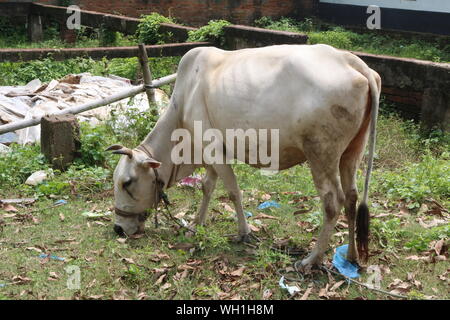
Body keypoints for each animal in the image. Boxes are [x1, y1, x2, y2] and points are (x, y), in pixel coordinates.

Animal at [108, 43, 380, 266]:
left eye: (127, 183)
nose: (118, 229)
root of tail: (351, 61)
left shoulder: (213, 149)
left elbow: (233, 191)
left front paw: (243, 232)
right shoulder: (210, 153)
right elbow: (207, 186)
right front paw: (196, 224)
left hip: (321, 154)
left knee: (333, 203)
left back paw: (311, 259)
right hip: (352, 152)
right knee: (352, 197)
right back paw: (351, 255)